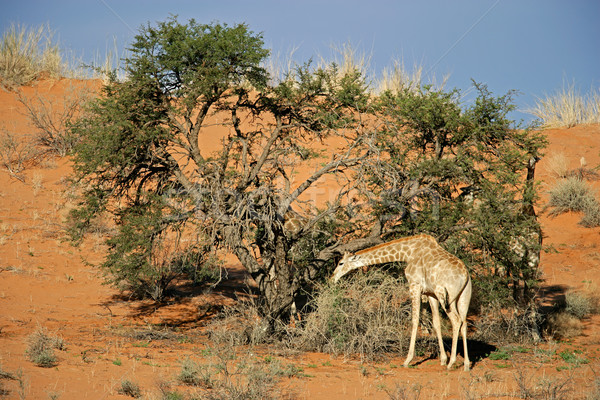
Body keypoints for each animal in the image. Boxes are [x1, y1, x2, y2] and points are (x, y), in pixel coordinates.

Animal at [330, 234, 472, 372]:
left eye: (341, 263)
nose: (332, 278)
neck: (408, 253)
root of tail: (465, 275)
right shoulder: (431, 293)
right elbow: (436, 323)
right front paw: (443, 359)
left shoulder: (415, 286)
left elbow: (415, 320)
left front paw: (407, 360)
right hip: (463, 297)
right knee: (464, 323)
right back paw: (466, 364)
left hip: (448, 298)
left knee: (456, 320)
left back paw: (452, 363)